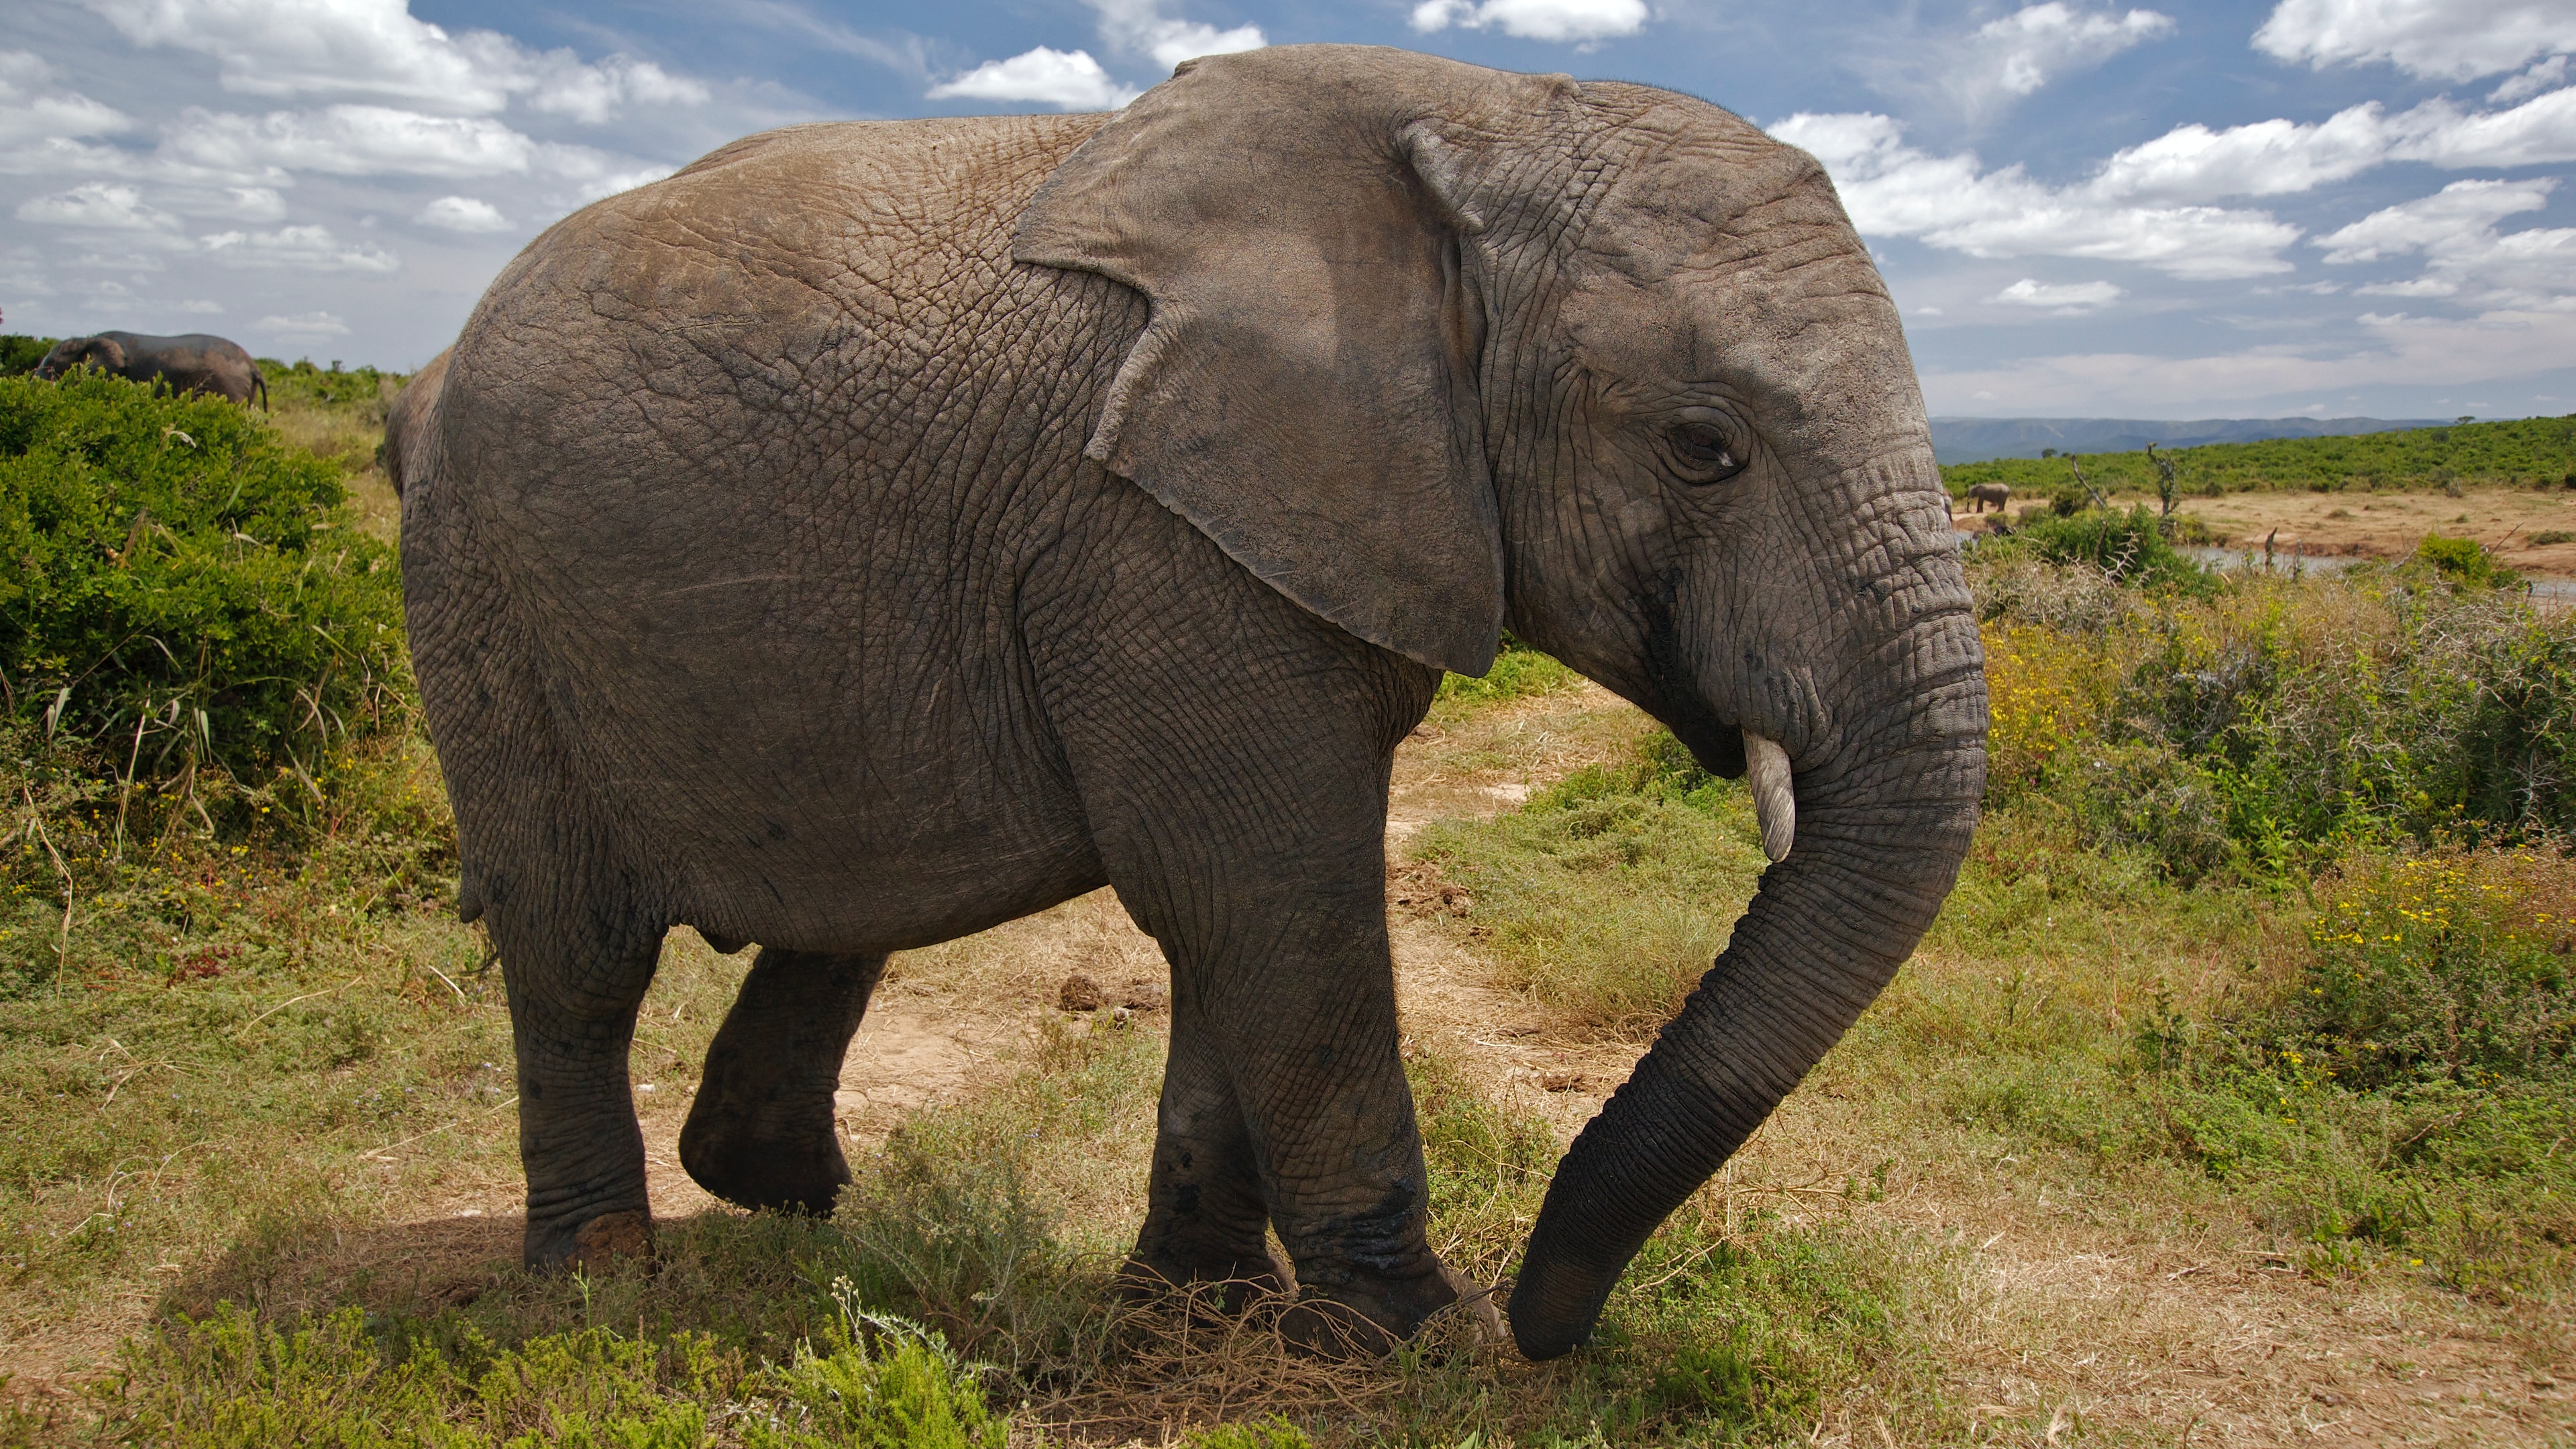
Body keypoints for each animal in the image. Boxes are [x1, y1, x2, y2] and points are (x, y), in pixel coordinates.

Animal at [407, 42, 1988, 1350]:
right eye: (1703, 447)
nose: (1549, 1328)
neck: (1490, 121)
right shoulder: (1153, 529)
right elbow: (1271, 893)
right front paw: (1410, 1337)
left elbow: (1234, 914)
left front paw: (1197, 1308)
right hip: (482, 590)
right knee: (575, 954)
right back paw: (599, 1283)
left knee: (843, 902)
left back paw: (784, 1202)